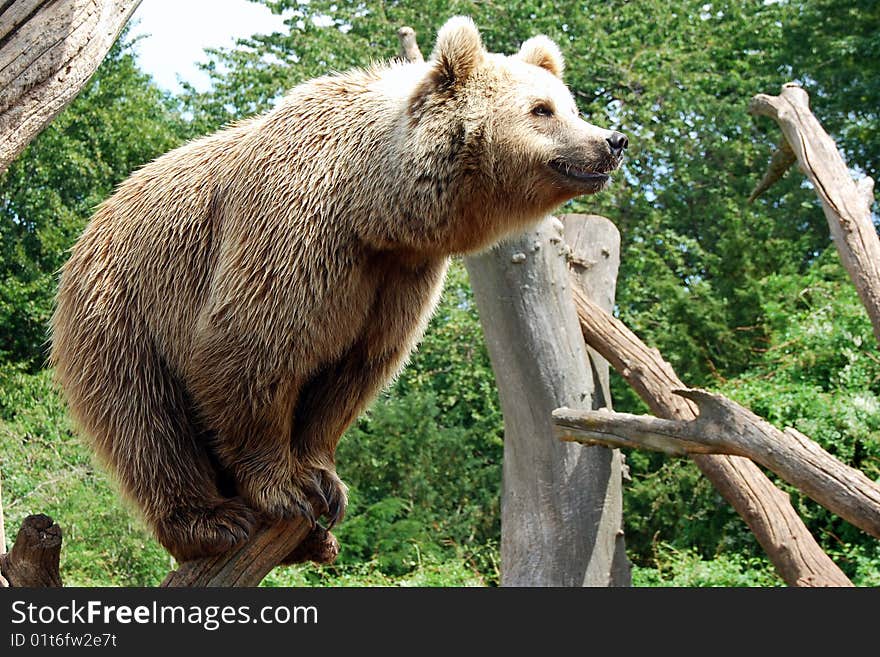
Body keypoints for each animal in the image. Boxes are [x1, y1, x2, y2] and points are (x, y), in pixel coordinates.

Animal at [49, 16, 624, 560]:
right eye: (542, 110)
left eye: (570, 106)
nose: (611, 142)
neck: (373, 207)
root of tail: (91, 228)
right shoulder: (295, 237)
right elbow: (249, 351)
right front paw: (285, 489)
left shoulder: (398, 277)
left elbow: (354, 369)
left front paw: (324, 480)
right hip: (125, 313)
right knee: (147, 425)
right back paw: (209, 521)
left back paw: (306, 543)